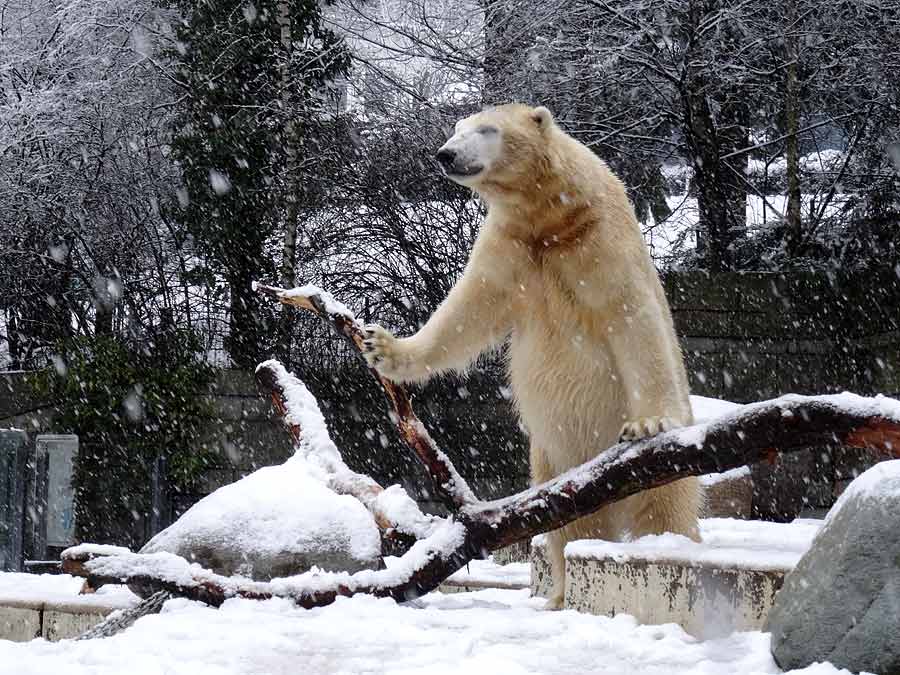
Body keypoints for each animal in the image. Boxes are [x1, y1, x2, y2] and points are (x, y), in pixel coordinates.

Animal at [362, 103, 700, 608]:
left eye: (486, 129)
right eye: (458, 128)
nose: (445, 154)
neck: (550, 216)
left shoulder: (599, 239)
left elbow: (633, 319)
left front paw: (649, 422)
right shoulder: (510, 246)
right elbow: (466, 311)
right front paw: (382, 346)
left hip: (661, 473)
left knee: (663, 512)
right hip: (553, 460)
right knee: (570, 523)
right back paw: (559, 593)